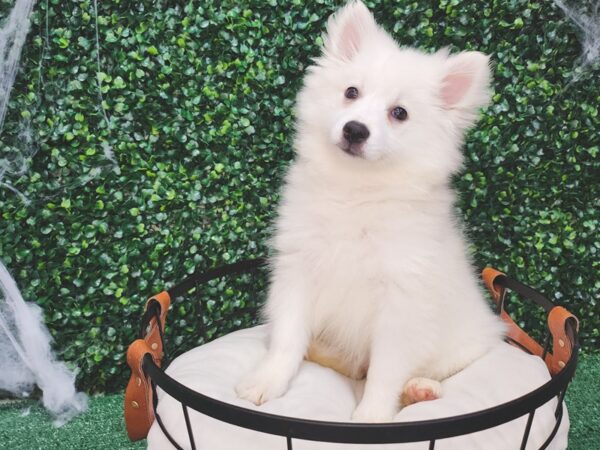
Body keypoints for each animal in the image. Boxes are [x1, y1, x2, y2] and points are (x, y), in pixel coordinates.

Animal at [237, 0, 504, 422]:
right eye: (351, 92)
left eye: (400, 113)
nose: (355, 129)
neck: (356, 191)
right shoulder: (298, 273)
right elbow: (288, 338)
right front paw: (268, 380)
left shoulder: (401, 301)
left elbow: (384, 371)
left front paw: (371, 418)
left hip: (465, 343)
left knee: (424, 370)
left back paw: (421, 389)